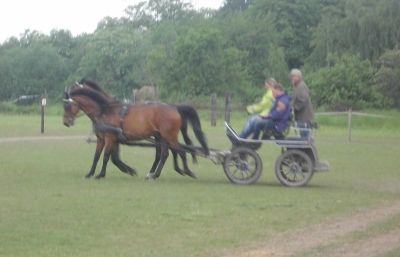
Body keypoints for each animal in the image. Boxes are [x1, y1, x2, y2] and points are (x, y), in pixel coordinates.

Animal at [63, 83, 209, 179]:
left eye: (67, 105)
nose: (65, 122)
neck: (105, 110)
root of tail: (174, 108)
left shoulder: (110, 138)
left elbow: (106, 157)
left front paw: (101, 174)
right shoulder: (102, 139)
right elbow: (97, 156)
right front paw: (91, 173)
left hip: (169, 136)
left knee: (180, 151)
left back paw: (185, 171)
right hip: (162, 137)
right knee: (165, 154)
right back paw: (155, 174)